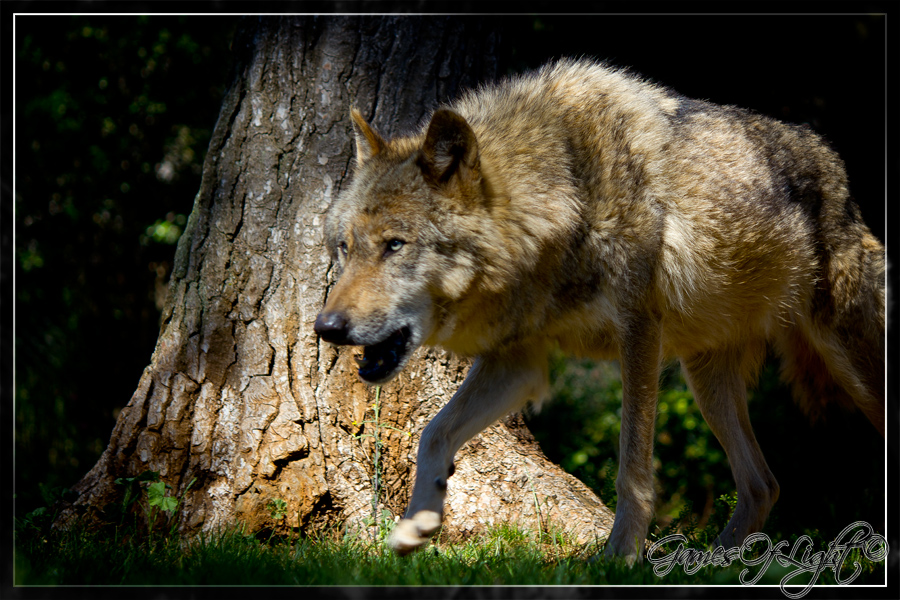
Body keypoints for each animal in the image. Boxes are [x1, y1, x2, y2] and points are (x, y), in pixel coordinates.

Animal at [312, 58, 884, 564]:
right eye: (344, 247)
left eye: (395, 245)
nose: (326, 327)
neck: (564, 195)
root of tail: (834, 164)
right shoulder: (519, 363)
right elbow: (433, 434)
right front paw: (418, 524)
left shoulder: (639, 335)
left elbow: (631, 466)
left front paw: (620, 557)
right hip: (706, 380)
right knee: (764, 484)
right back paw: (710, 565)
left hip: (845, 362)